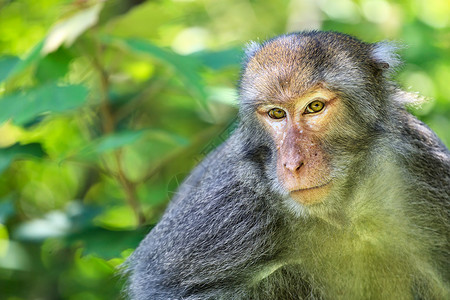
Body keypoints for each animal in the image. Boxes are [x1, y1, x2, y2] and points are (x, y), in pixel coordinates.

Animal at [123, 31, 450, 298]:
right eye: (276, 113)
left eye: (314, 106)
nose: (292, 164)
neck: (345, 214)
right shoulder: (235, 199)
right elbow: (162, 284)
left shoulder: (422, 162)